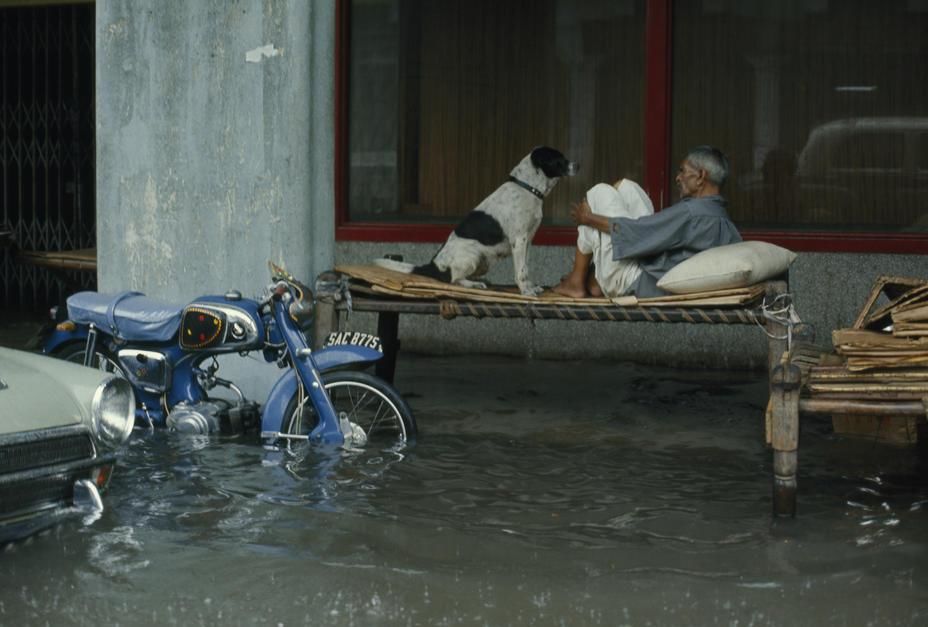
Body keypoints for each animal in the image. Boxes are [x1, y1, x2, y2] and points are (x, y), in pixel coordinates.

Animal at [372, 147, 576, 296]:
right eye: (560, 158)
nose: (579, 165)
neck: (527, 188)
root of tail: (434, 265)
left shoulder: (528, 241)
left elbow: (525, 267)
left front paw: (531, 287)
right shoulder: (519, 240)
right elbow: (521, 271)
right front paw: (526, 291)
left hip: (483, 263)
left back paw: (479, 280)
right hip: (473, 255)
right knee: (454, 279)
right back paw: (473, 284)